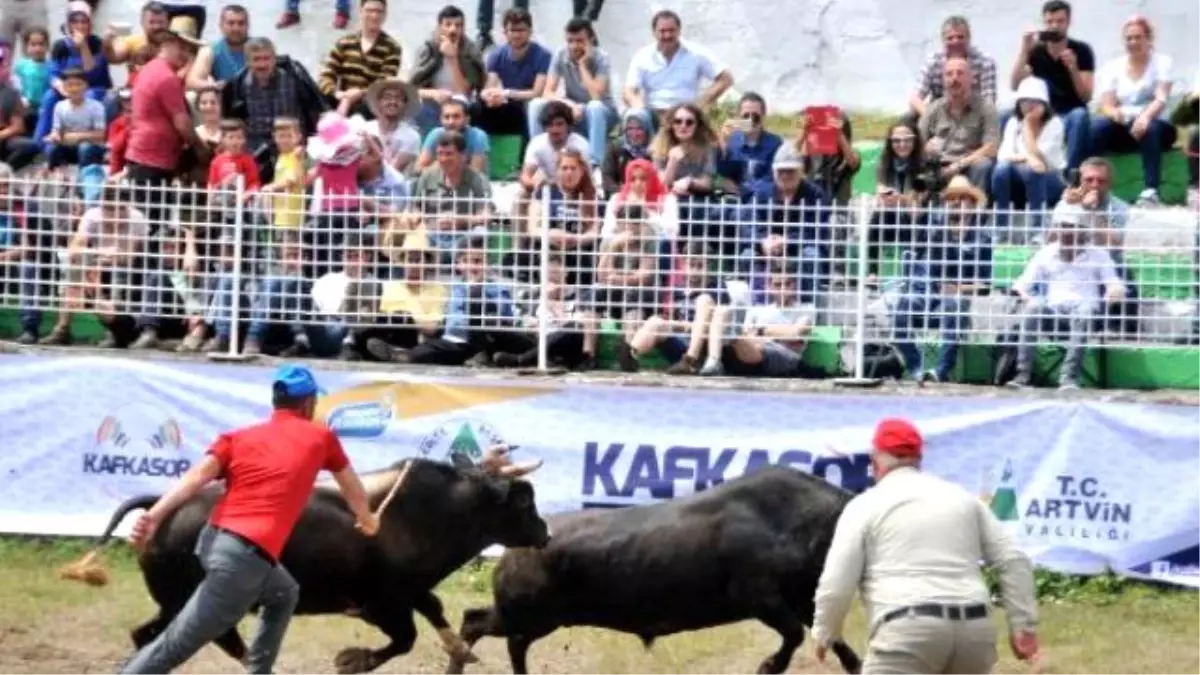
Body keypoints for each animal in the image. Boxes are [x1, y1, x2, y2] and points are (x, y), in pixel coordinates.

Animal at [63, 454, 549, 667]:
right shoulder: (382, 604)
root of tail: (162, 507)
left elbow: (432, 609)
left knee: (149, 635)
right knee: (213, 640)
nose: (544, 532)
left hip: (173, 603)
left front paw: (460, 649)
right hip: (199, 602)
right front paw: (353, 660)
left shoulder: (407, 593)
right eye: (523, 502)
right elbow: (406, 637)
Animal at [451, 466, 864, 672]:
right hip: (529, 617)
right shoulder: (761, 598)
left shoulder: (806, 601)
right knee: (482, 628)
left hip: (529, 618)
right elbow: (793, 636)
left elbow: (841, 648)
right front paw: (768, 666)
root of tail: (511, 550)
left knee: (480, 626)